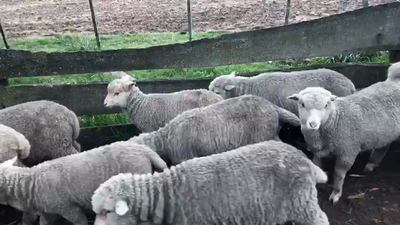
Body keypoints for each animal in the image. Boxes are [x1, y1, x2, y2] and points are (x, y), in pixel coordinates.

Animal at [286, 61, 400, 204]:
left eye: (326, 105)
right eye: (302, 104)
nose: (313, 124)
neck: (335, 119)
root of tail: (395, 81)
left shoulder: (347, 152)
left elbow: (338, 175)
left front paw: (336, 193)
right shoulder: (318, 151)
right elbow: (316, 165)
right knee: (384, 146)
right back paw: (371, 163)